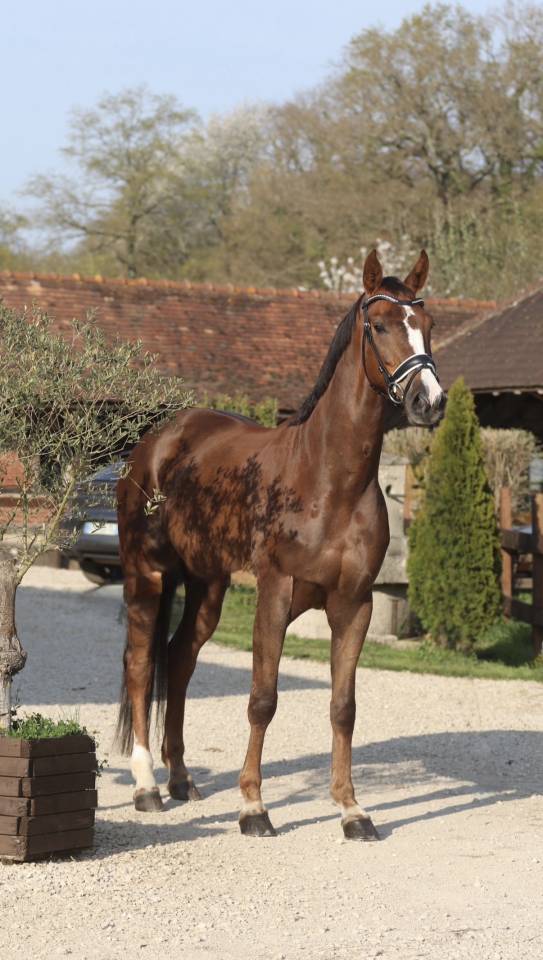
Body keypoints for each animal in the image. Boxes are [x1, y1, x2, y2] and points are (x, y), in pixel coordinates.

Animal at [116, 248, 445, 840]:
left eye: (428, 325)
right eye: (380, 325)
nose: (429, 402)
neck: (327, 480)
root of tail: (155, 444)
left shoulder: (354, 604)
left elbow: (343, 707)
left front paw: (352, 810)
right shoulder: (275, 592)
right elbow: (263, 700)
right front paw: (253, 808)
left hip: (207, 584)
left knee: (178, 659)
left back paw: (180, 779)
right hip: (146, 574)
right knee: (140, 663)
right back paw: (147, 786)